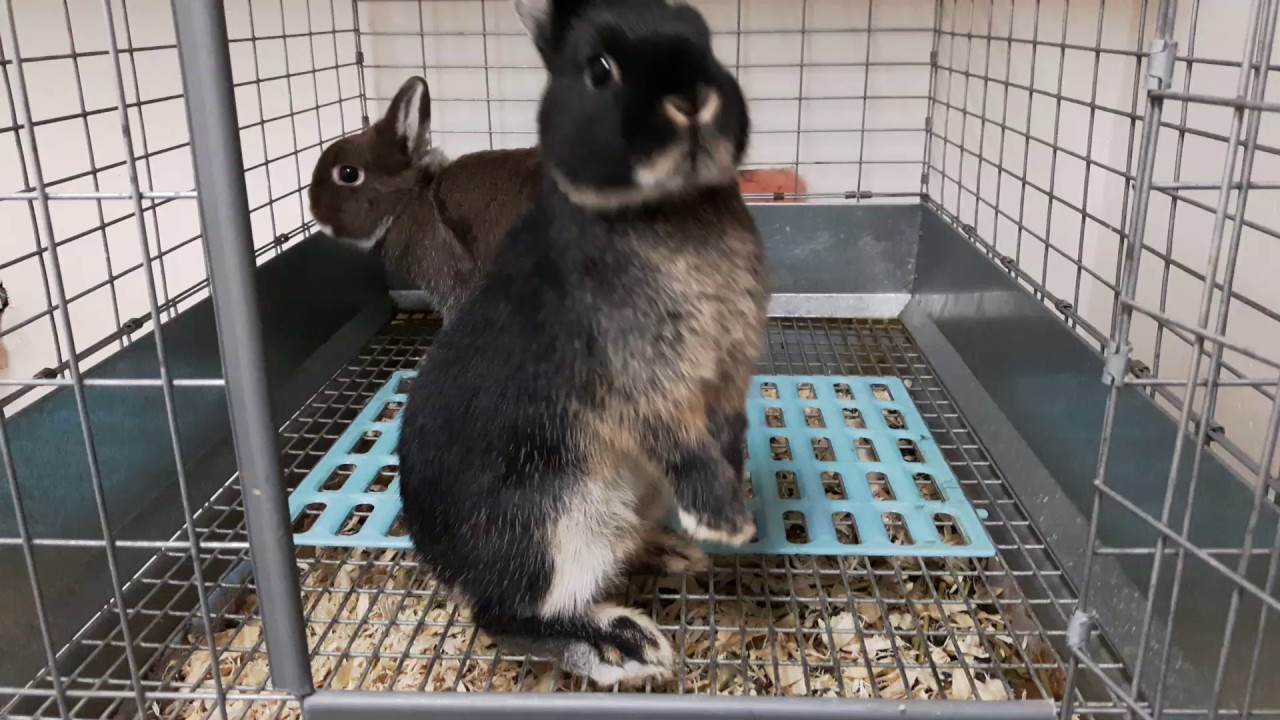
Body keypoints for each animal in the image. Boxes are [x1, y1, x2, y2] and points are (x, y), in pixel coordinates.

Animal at [394, 0, 762, 686]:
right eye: (599, 69)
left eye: (708, 40)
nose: (690, 98)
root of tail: (441, 561)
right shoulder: (638, 382)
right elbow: (679, 441)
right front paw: (725, 522)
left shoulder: (726, 377)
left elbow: (728, 433)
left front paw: (730, 506)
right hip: (557, 523)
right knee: (503, 616)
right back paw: (625, 646)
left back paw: (668, 550)